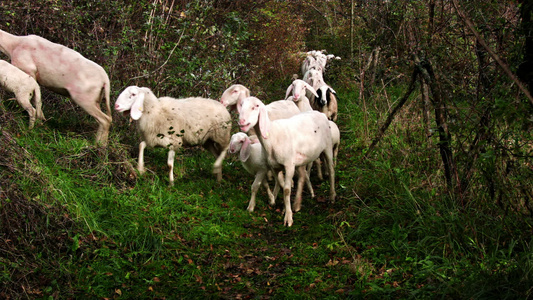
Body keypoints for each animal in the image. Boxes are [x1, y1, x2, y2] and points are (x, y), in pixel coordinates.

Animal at [237, 97, 332, 226]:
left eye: (255, 106)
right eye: (241, 105)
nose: (241, 121)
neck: (272, 136)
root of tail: (320, 113)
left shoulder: (289, 165)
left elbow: (286, 190)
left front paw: (288, 218)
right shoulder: (275, 167)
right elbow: (281, 185)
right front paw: (283, 207)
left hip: (328, 148)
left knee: (331, 170)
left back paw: (332, 196)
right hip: (301, 160)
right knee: (302, 177)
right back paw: (297, 204)